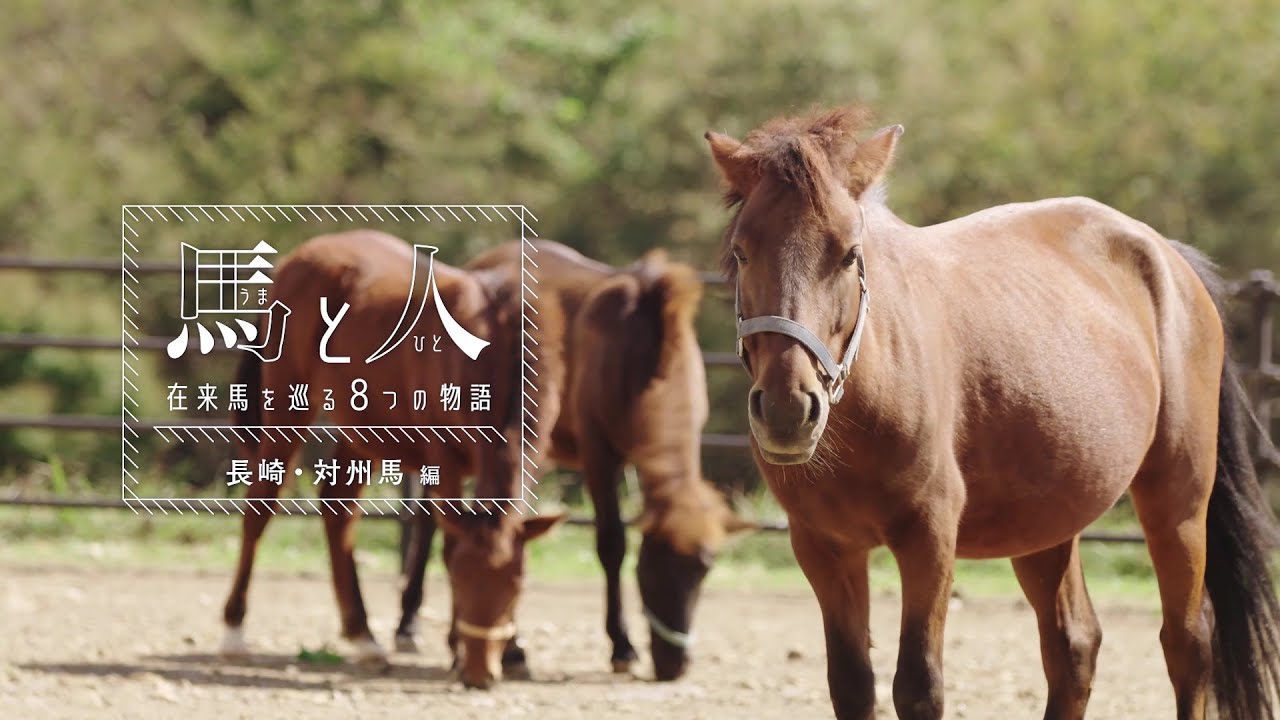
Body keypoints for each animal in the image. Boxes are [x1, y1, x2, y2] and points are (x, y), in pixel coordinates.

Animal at [217, 230, 565, 690]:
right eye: (458, 579)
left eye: (518, 585)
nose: (478, 673)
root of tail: (301, 257)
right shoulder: (444, 457)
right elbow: (448, 540)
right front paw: (457, 649)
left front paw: (512, 650)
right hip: (287, 407)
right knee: (260, 509)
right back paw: (234, 629)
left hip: (361, 426)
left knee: (338, 508)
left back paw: (362, 636)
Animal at [395, 239, 751, 681]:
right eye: (651, 570)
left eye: (704, 569)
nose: (675, 665)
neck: (640, 350)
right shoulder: (599, 455)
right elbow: (611, 544)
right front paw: (622, 646)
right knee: (430, 518)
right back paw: (409, 624)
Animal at [703, 106, 1280, 720]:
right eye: (742, 252)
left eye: (849, 253)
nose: (787, 409)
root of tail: (1167, 258)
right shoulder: (822, 547)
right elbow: (852, 684)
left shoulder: (930, 539)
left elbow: (918, 685)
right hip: (1049, 522)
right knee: (1073, 647)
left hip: (1178, 500)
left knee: (1187, 643)